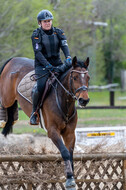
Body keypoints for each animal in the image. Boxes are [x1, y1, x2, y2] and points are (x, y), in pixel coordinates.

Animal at [0, 55, 89, 189]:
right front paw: (69, 179)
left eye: (88, 77)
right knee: (3, 102)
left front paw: (71, 178)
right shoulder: (52, 132)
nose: (84, 100)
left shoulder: (69, 133)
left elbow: (70, 154)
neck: (63, 100)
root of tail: (13, 59)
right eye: (75, 77)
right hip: (7, 98)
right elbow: (64, 152)